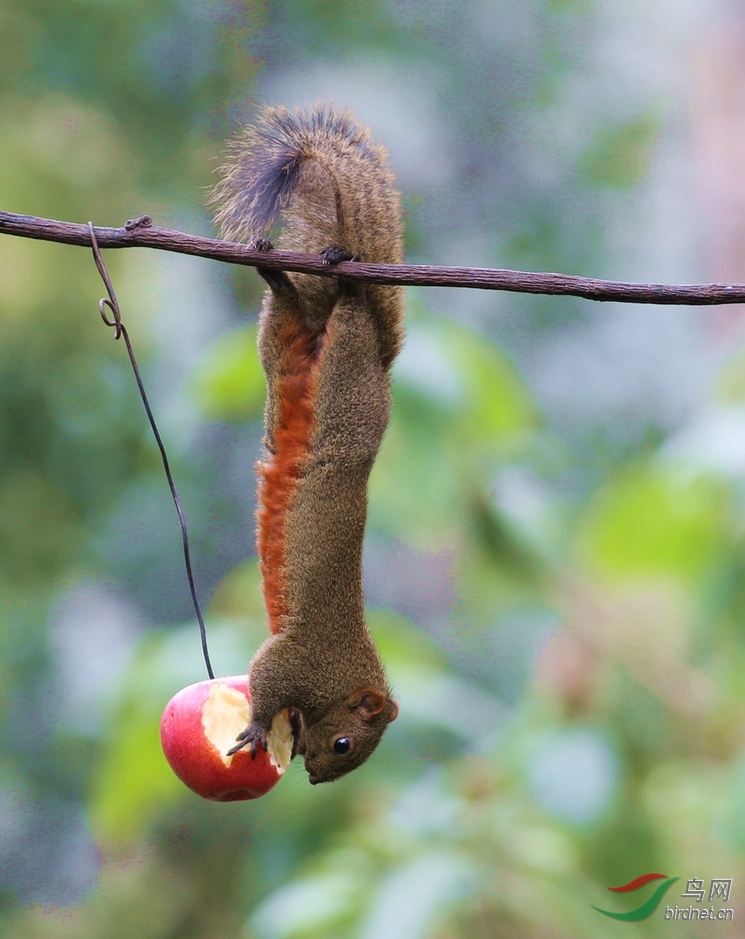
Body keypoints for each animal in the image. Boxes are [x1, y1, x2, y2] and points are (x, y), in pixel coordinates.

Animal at [206, 104, 404, 784]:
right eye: (345, 744)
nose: (316, 778)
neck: (339, 677)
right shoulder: (299, 658)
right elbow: (267, 681)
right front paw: (257, 727)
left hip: (284, 347)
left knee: (291, 310)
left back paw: (276, 271)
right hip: (351, 385)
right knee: (350, 313)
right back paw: (346, 281)